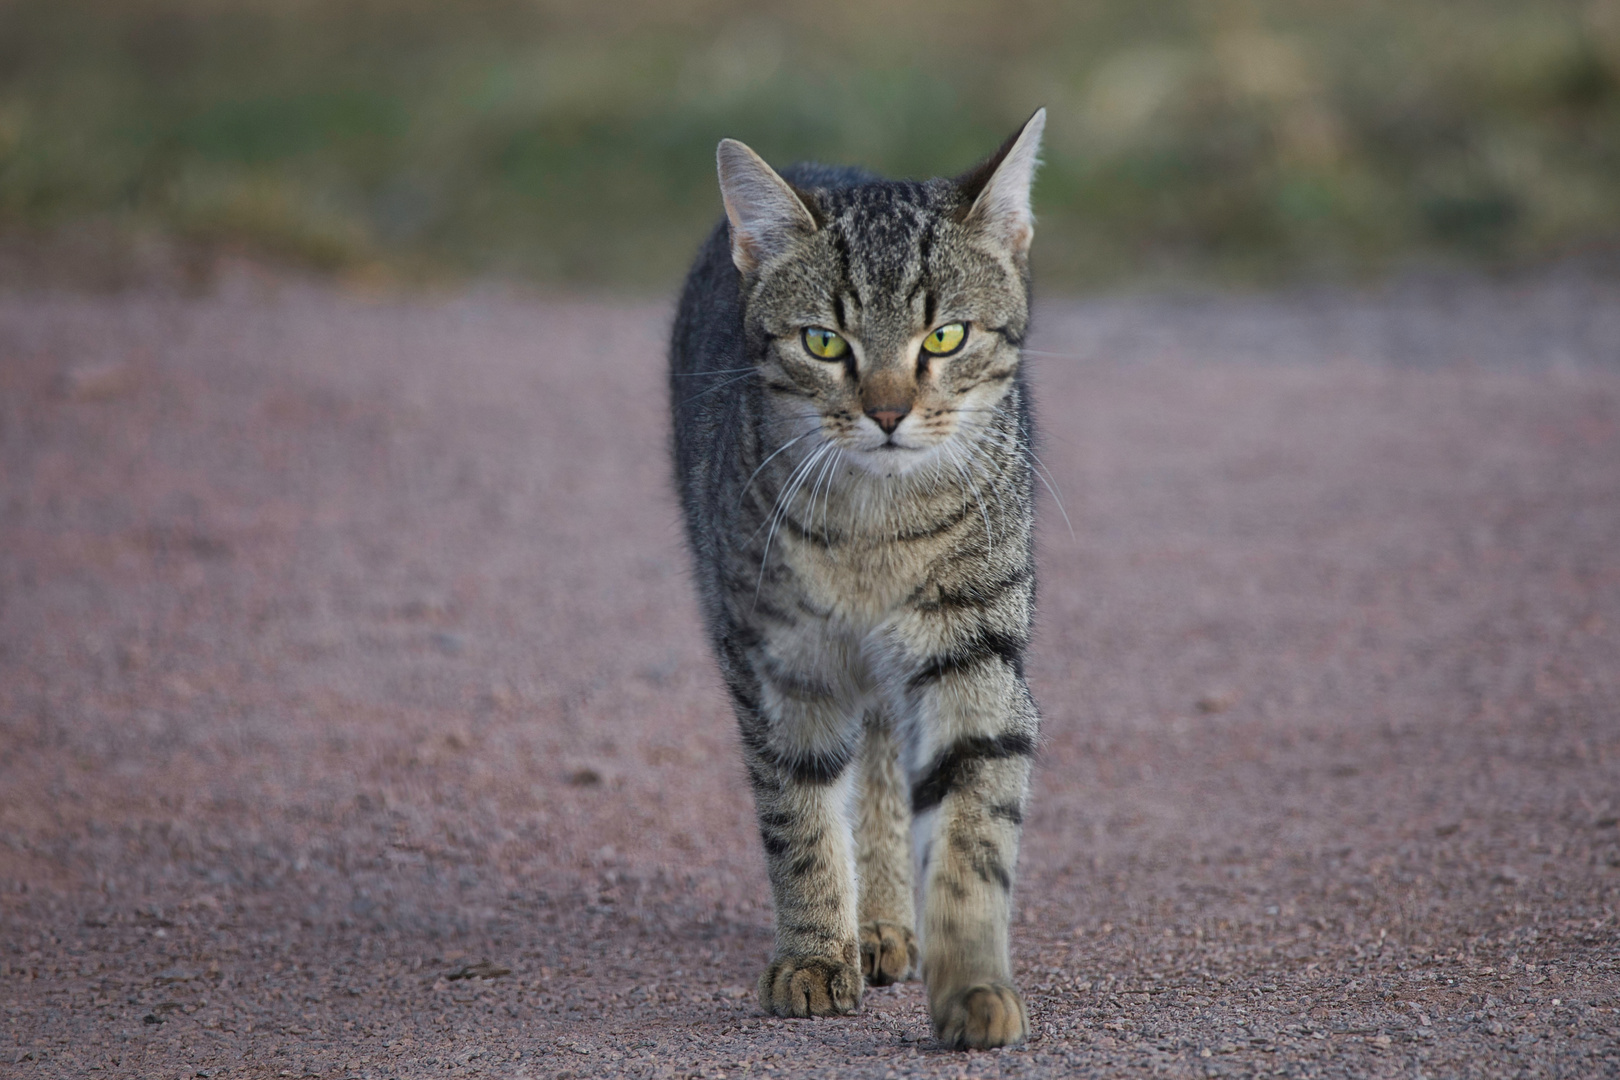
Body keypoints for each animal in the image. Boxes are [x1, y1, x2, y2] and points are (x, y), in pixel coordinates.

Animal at [670, 110, 1049, 1049]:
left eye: (945, 337)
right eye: (824, 343)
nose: (886, 412)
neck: (877, 537)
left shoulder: (975, 659)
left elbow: (970, 838)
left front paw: (972, 985)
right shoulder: (779, 665)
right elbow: (799, 819)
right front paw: (813, 955)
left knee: (881, 764)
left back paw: (884, 922)